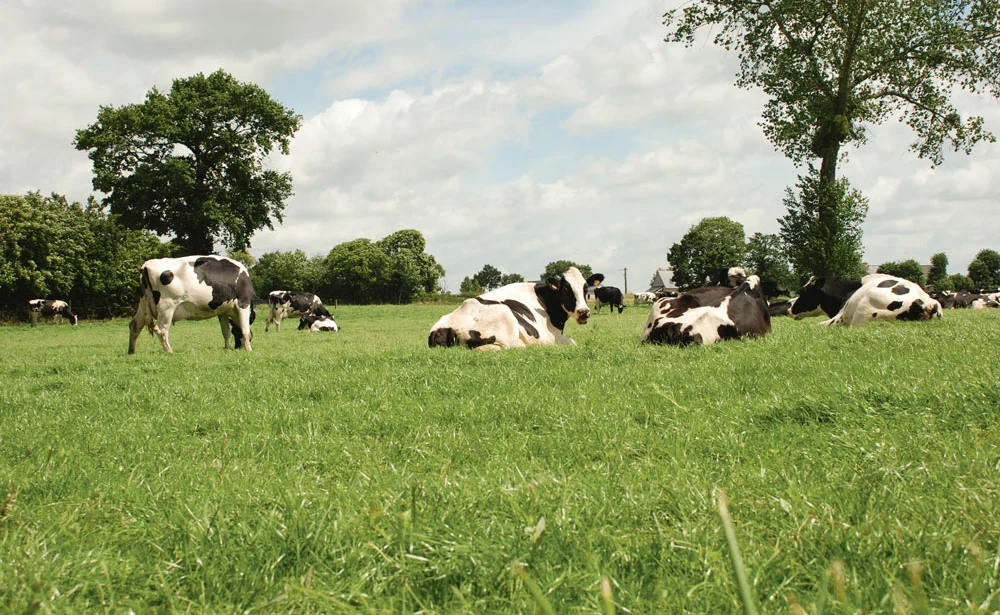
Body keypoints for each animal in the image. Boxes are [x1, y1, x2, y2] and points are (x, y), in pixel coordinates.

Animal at [127, 253, 258, 354]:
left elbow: (225, 332)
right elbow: (245, 330)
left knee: (135, 325)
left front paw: (227, 348)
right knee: (161, 330)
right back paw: (169, 351)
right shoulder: (243, 304)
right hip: (167, 306)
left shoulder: (222, 312)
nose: (237, 347)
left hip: (144, 303)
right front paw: (249, 349)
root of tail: (147, 264)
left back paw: (131, 351)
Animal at [430, 266, 592, 352]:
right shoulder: (551, 338)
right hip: (505, 317)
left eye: (585, 288)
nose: (583, 311)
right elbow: (572, 342)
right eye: (566, 289)